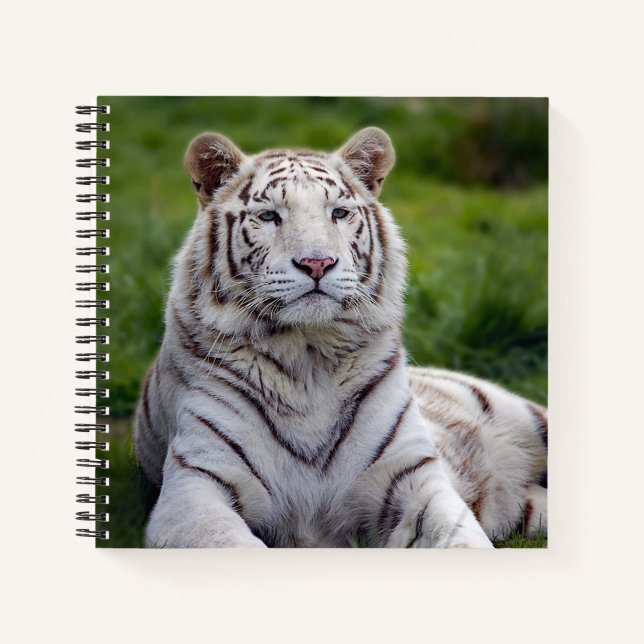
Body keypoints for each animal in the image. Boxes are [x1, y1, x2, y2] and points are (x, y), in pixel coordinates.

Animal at [134, 127, 547, 548]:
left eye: (338, 213)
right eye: (269, 216)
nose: (317, 263)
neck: (308, 357)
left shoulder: (412, 474)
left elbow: (458, 534)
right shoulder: (195, 487)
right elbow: (231, 542)